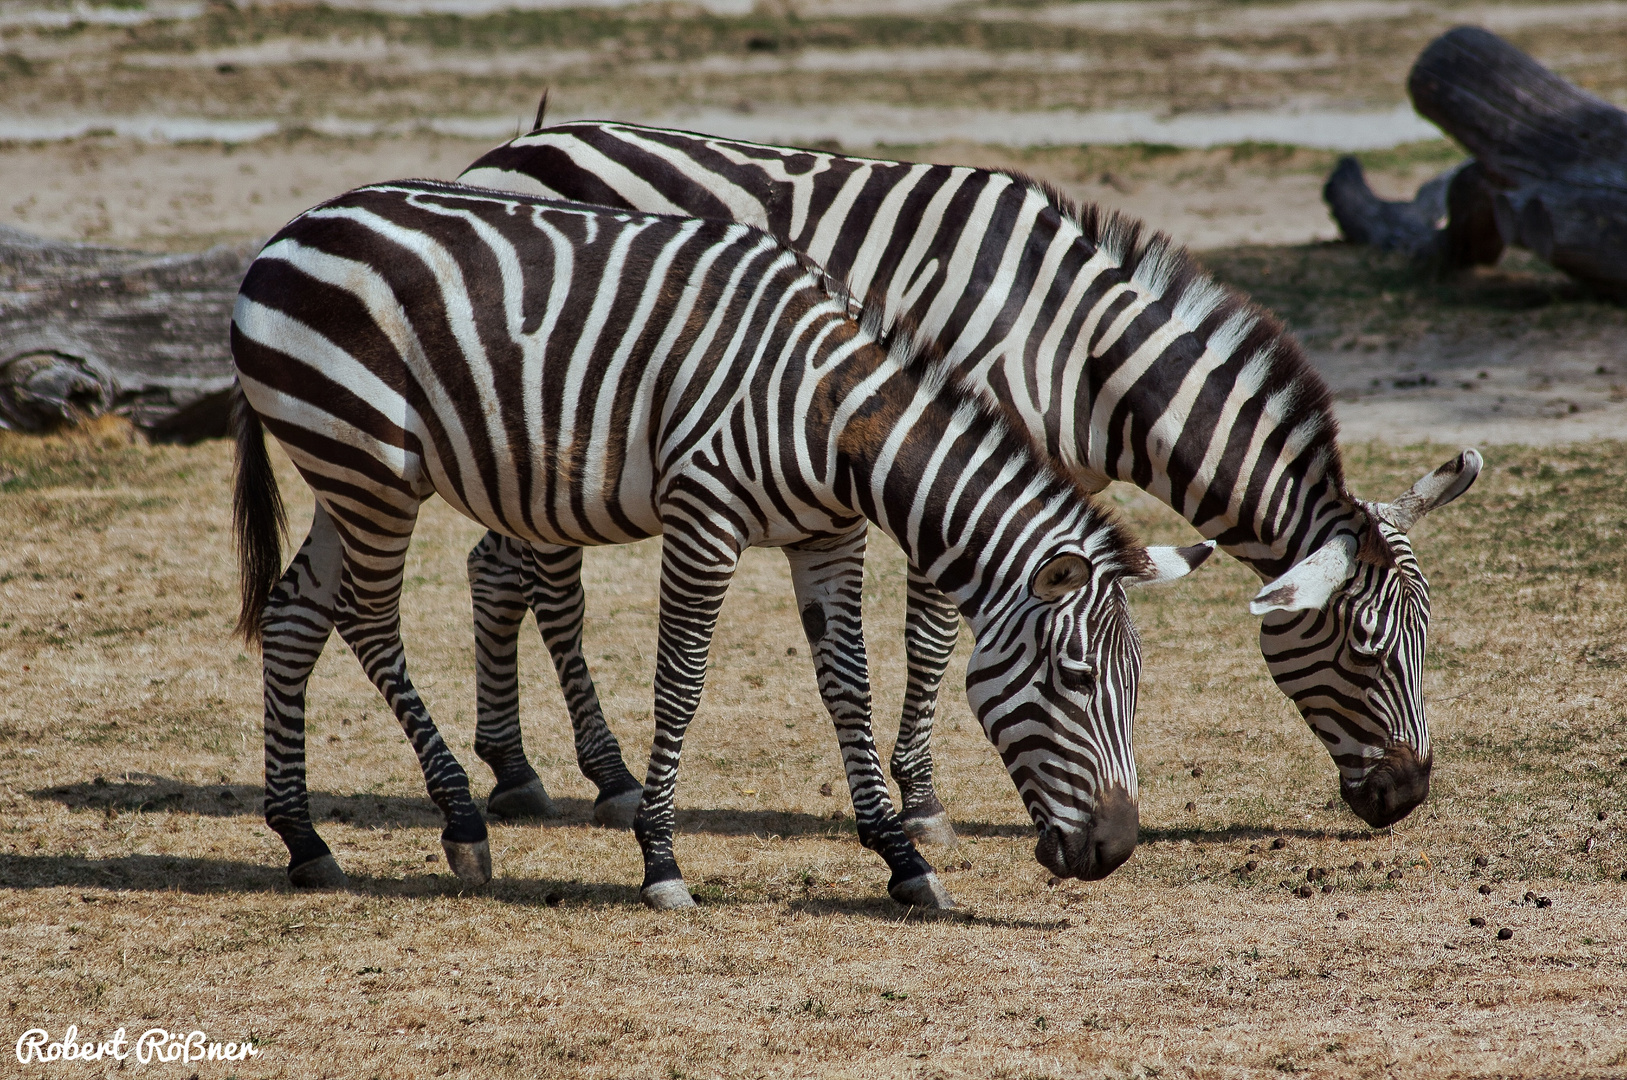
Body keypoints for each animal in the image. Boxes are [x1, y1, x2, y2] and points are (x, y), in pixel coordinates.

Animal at [235, 181, 1216, 904]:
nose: (1115, 850)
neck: (833, 416)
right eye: (1075, 680)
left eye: (1136, 684)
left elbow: (848, 689)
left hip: (345, 472)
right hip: (368, 462)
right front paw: (660, 860)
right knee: (368, 620)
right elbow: (682, 683)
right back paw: (460, 823)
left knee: (293, 616)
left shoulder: (828, 538)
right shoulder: (702, 519)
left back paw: (303, 838)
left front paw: (901, 857)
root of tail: (296, 225)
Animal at [452, 121, 1483, 839]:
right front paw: (920, 800)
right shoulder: (948, 469)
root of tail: (500, 152)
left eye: (1425, 640)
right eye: (1364, 651)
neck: (1076, 353)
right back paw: (603, 777)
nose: (1408, 795)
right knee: (544, 582)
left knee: (496, 567)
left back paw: (518, 772)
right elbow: (933, 639)